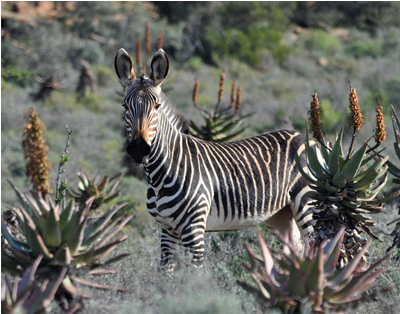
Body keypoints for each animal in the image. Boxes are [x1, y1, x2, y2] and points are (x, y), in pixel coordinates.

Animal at [114, 47, 314, 272]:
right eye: (125, 106)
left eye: (157, 106)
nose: (139, 149)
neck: (159, 177)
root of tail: (304, 136)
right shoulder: (167, 229)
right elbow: (165, 276)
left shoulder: (194, 228)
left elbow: (193, 277)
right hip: (281, 214)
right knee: (297, 251)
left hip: (308, 204)